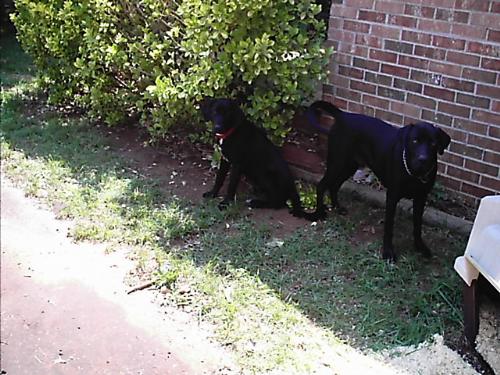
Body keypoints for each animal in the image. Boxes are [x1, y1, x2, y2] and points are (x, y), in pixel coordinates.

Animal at [306, 101, 452, 262]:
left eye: (433, 143)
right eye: (415, 140)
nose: (423, 159)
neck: (414, 174)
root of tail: (343, 115)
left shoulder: (421, 198)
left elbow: (417, 225)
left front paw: (420, 247)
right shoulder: (392, 197)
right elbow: (389, 227)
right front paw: (388, 252)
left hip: (349, 166)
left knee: (334, 185)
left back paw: (338, 207)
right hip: (337, 162)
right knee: (321, 185)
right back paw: (319, 213)